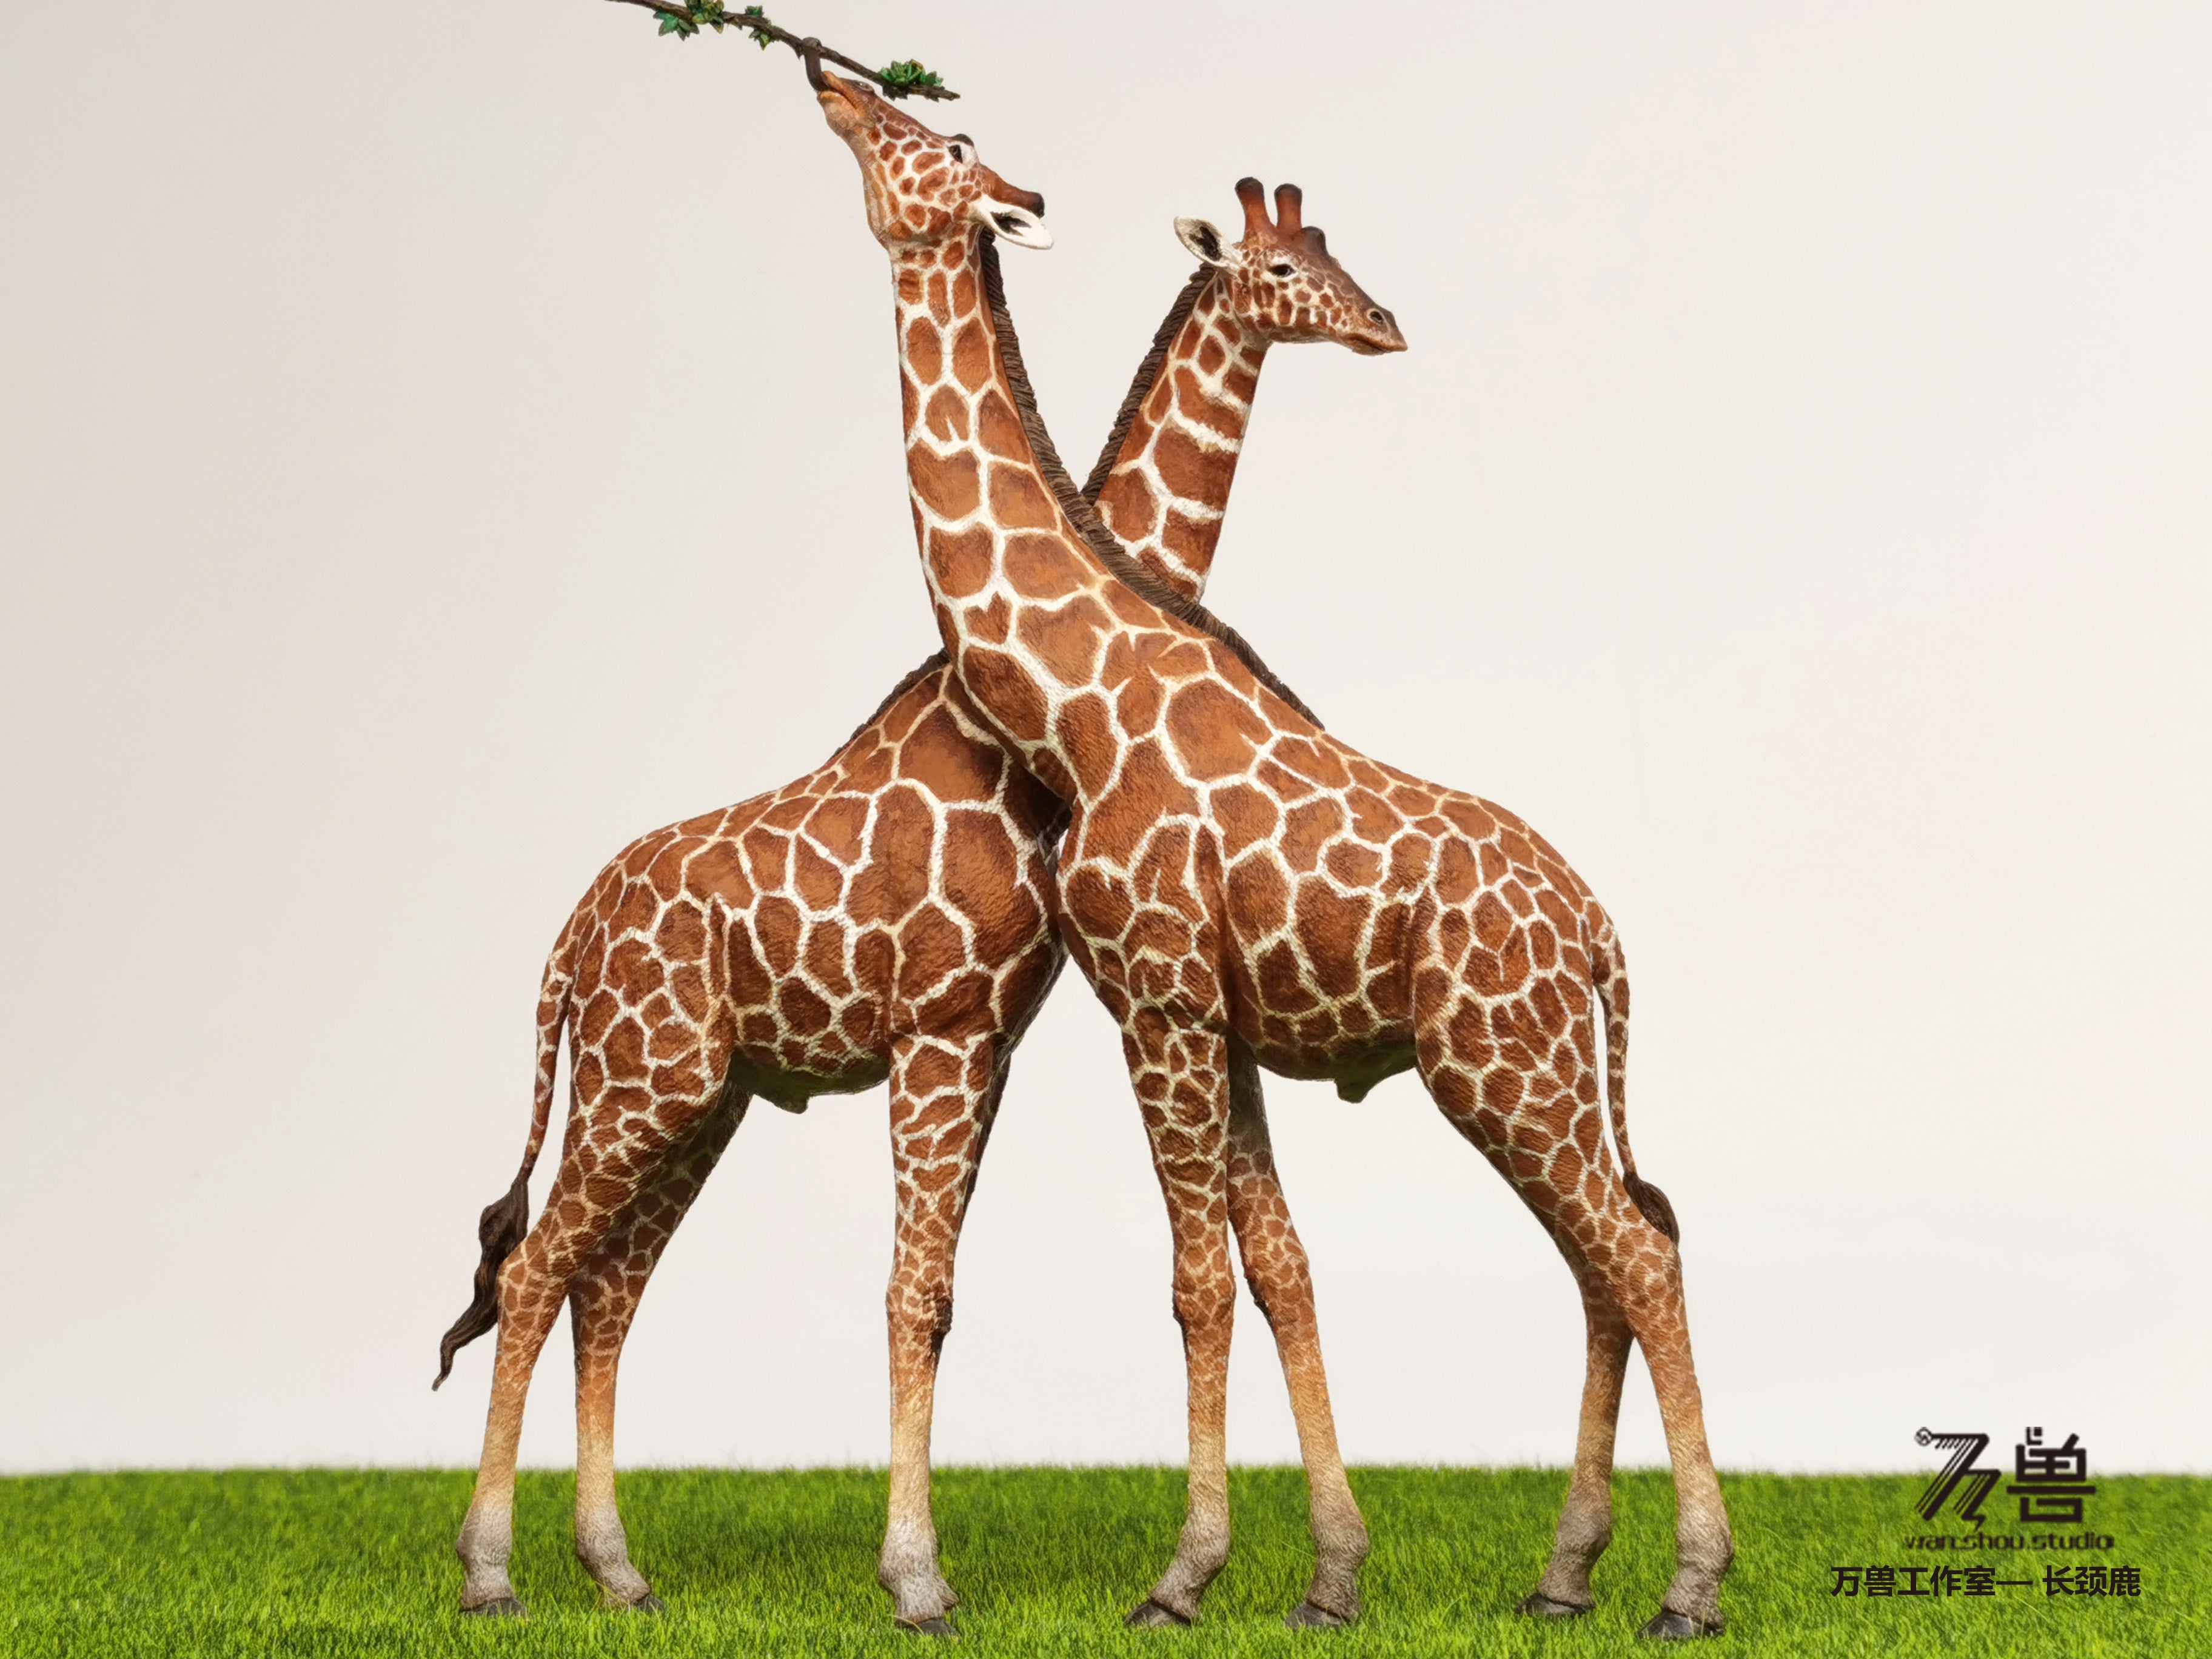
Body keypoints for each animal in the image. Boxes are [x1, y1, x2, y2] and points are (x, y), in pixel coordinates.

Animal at [432, 155, 1402, 1631]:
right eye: (1286, 271)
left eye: (1338, 252)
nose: (1386, 325)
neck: (1027, 722)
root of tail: (568, 941)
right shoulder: (941, 1028)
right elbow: (915, 1294)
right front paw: (918, 1577)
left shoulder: (997, 1032)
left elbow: (966, 1287)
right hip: (637, 1081)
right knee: (543, 1269)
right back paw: (493, 1572)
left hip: (699, 1096)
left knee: (607, 1290)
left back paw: (618, 1570)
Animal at [816, 69, 1732, 1639]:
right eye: (1293, 262)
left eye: (924, 138)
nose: (829, 84)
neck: (1080, 705)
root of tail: (1605, 939)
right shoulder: (1217, 1020)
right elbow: (1279, 1265)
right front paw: (1329, 1573)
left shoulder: (1162, 1001)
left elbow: (1198, 1277)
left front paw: (1184, 1576)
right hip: (1535, 1072)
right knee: (1611, 1251)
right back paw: (1563, 1572)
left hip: (1504, 1062)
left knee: (1641, 1251)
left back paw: (1687, 1583)